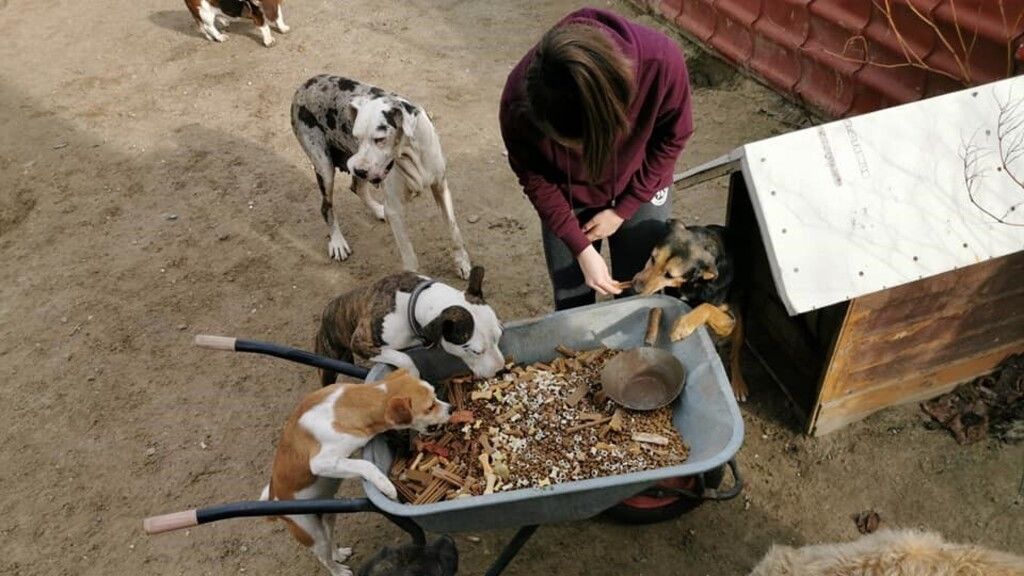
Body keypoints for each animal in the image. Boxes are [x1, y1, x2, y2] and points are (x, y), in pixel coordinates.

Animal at [260, 366, 448, 573]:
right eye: (430, 407)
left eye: (435, 395)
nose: (451, 408)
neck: (351, 405)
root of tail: (274, 497)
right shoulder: (322, 462)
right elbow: (366, 464)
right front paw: (386, 486)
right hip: (312, 533)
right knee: (324, 557)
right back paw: (339, 571)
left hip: (328, 517)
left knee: (330, 541)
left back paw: (338, 554)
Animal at [292, 75, 471, 278]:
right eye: (357, 137)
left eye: (380, 139)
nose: (359, 170)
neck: (413, 153)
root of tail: (306, 84)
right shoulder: (395, 209)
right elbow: (409, 255)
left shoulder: (441, 188)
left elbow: (453, 230)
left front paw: (461, 261)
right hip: (326, 168)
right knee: (326, 207)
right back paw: (337, 242)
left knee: (357, 188)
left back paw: (378, 210)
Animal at [626, 218, 749, 399]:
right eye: (653, 258)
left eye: (669, 275)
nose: (635, 289)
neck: (692, 283)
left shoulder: (728, 322)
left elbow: (706, 307)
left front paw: (681, 326)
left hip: (739, 317)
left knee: (735, 352)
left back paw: (738, 384)